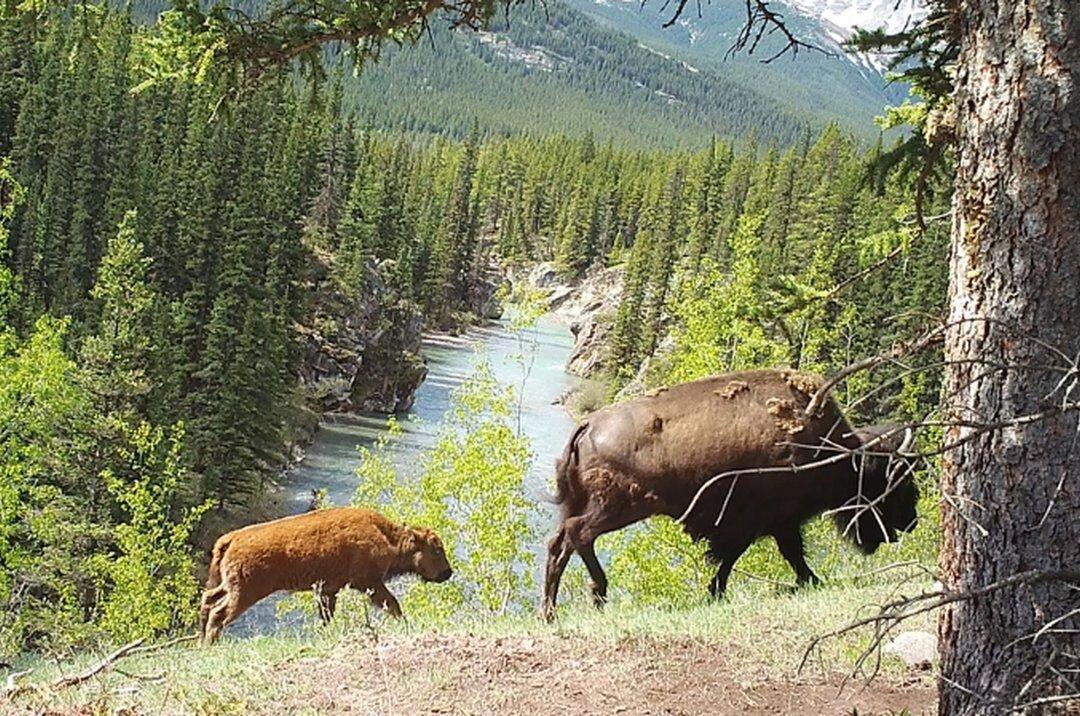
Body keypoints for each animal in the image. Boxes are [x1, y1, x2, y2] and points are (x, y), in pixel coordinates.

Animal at [542, 369, 918, 620]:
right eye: (891, 484)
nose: (911, 521)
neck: (835, 451)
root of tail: (587, 424)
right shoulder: (767, 521)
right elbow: (773, 553)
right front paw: (809, 580)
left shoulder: (767, 524)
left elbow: (760, 555)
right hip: (619, 507)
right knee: (579, 534)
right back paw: (597, 595)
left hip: (591, 504)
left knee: (560, 542)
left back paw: (551, 612)